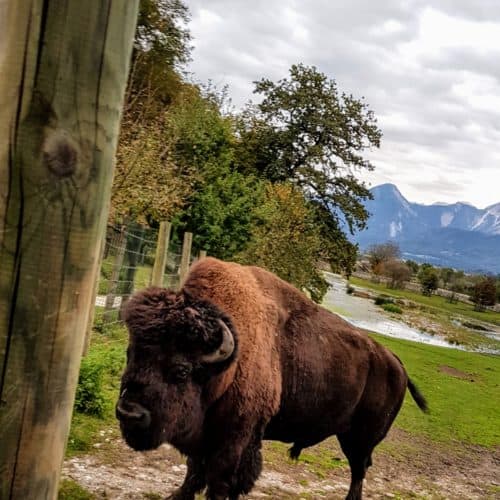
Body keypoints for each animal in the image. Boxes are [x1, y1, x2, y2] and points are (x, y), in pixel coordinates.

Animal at [116, 258, 426, 500]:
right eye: (130, 353)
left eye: (181, 370)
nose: (129, 413)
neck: (225, 367)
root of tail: (397, 364)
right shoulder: (205, 435)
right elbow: (194, 471)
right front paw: (176, 495)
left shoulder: (237, 436)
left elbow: (221, 479)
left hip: (360, 438)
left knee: (358, 472)